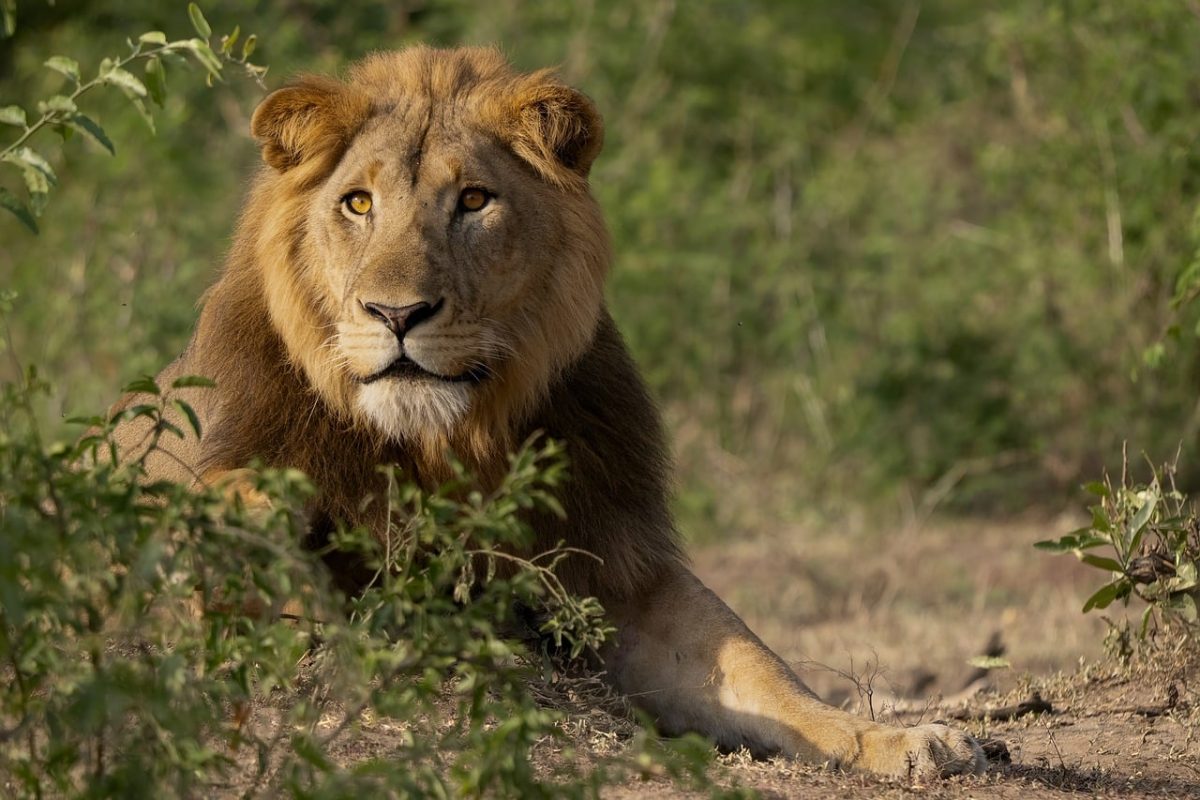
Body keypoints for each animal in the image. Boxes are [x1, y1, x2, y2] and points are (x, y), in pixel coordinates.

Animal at [113, 46, 985, 780]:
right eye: (357, 203)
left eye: (473, 201)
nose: (397, 314)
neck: (447, 443)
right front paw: (249, 522)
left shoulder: (613, 564)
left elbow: (759, 667)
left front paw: (899, 737)